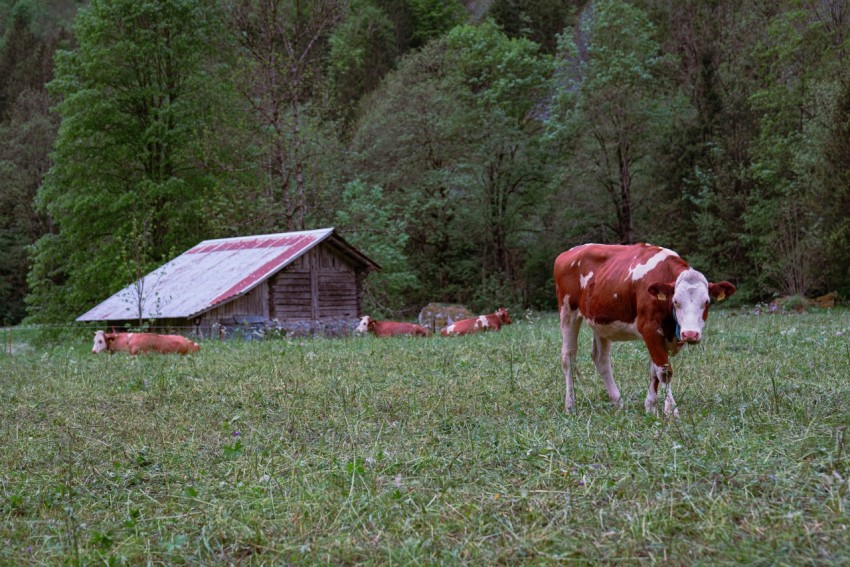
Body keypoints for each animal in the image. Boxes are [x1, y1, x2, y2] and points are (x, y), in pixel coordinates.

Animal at [552, 244, 732, 418]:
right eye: (675, 301)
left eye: (706, 302)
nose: (690, 334)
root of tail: (570, 251)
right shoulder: (649, 329)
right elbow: (664, 371)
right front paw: (671, 412)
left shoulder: (661, 337)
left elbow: (654, 371)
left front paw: (650, 407)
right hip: (567, 311)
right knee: (568, 358)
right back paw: (570, 405)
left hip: (600, 321)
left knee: (601, 359)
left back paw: (618, 402)